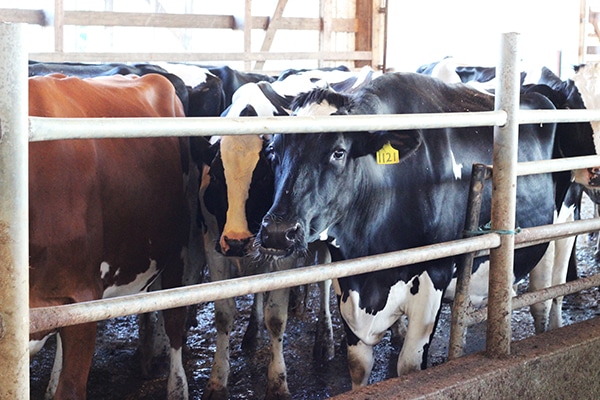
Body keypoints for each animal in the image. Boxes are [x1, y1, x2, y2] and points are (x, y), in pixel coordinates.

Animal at [255, 71, 556, 388]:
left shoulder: (433, 277)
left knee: (544, 301)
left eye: (338, 152)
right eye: (273, 151)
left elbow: (409, 365)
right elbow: (358, 365)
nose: (278, 231)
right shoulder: (348, 284)